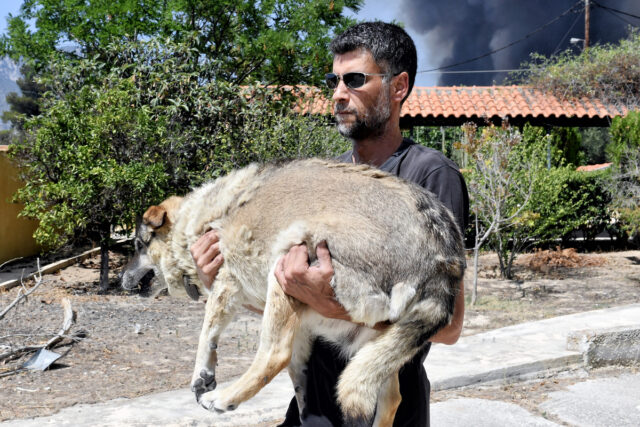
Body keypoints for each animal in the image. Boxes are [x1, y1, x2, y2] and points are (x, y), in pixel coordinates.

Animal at [122, 159, 464, 426]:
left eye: (138, 245)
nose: (121, 279)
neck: (196, 220)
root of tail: (442, 258)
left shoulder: (226, 283)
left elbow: (206, 336)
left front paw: (201, 377)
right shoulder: (303, 326)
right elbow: (299, 379)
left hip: (286, 260)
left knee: (274, 353)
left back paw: (223, 398)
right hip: (371, 342)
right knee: (390, 396)